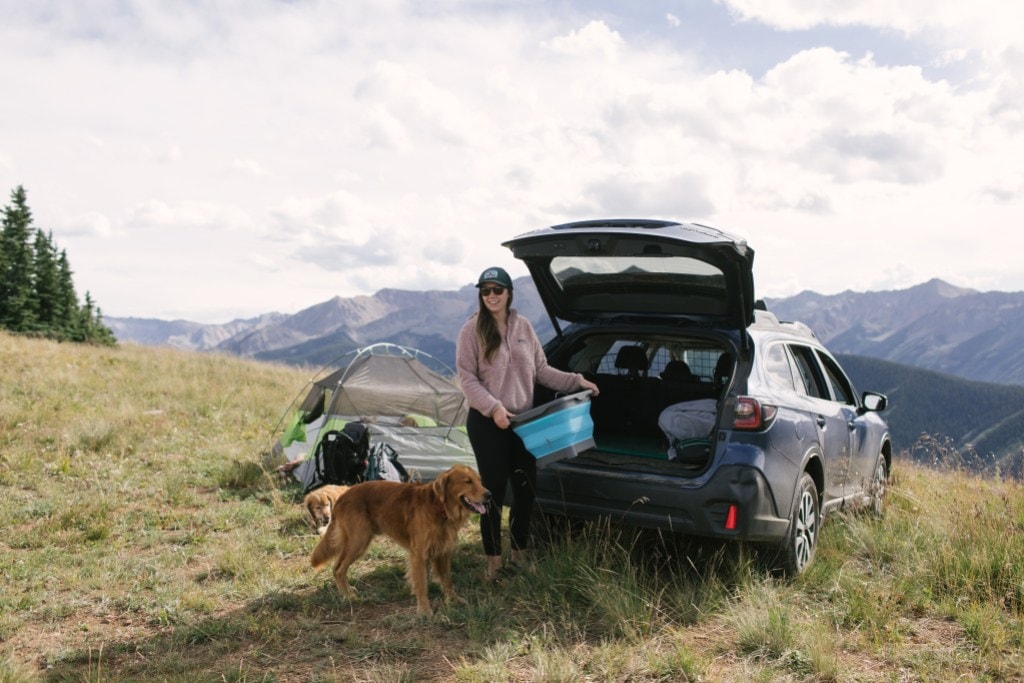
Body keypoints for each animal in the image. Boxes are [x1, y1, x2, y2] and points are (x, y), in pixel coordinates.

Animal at [309, 464, 489, 614]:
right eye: (468, 482)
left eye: (480, 481)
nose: (489, 495)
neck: (440, 508)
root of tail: (342, 496)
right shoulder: (419, 555)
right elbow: (422, 584)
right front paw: (424, 610)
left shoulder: (444, 551)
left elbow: (447, 579)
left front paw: (453, 600)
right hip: (358, 540)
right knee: (338, 568)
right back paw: (348, 596)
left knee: (338, 567)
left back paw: (348, 590)